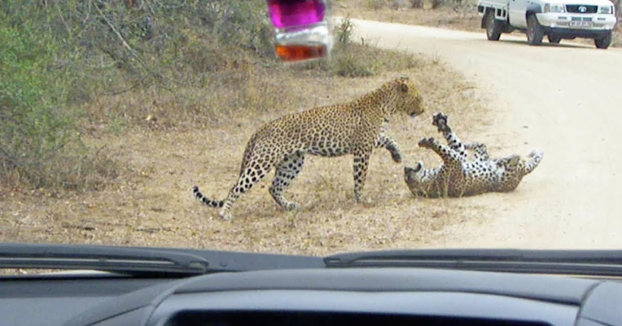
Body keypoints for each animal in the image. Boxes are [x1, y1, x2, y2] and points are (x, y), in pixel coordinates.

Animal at [195, 75, 426, 220]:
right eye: (418, 98)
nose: (424, 110)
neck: (388, 105)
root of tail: (261, 128)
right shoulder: (362, 149)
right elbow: (360, 178)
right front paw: (362, 199)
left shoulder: (370, 140)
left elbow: (389, 139)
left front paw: (397, 155)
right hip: (263, 160)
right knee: (236, 187)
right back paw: (225, 213)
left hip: (293, 162)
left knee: (274, 187)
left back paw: (289, 206)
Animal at [404, 112, 544, 199]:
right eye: (407, 178)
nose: (405, 168)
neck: (429, 177)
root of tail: (523, 171)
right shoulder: (454, 161)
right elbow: (442, 149)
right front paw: (429, 142)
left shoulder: (459, 158)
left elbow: (453, 143)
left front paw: (437, 128)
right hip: (506, 175)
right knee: (511, 160)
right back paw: (512, 158)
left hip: (481, 157)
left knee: (478, 145)